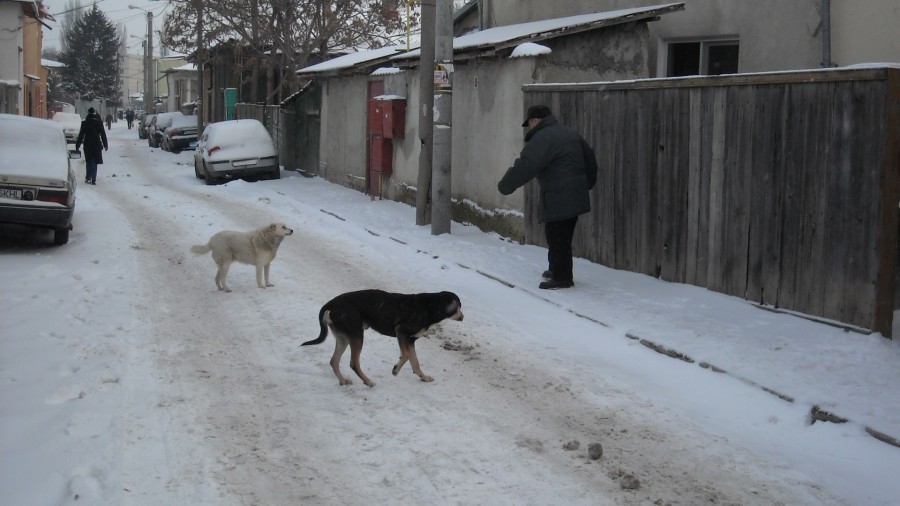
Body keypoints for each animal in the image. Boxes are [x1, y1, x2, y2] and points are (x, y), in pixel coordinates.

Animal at [306, 288, 468, 388]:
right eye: (458, 307)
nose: (462, 317)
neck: (430, 307)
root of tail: (330, 304)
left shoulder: (410, 340)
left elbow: (415, 362)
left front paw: (423, 377)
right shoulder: (401, 332)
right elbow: (406, 355)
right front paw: (395, 370)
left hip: (343, 338)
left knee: (334, 361)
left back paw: (343, 381)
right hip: (357, 336)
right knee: (353, 363)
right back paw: (368, 382)